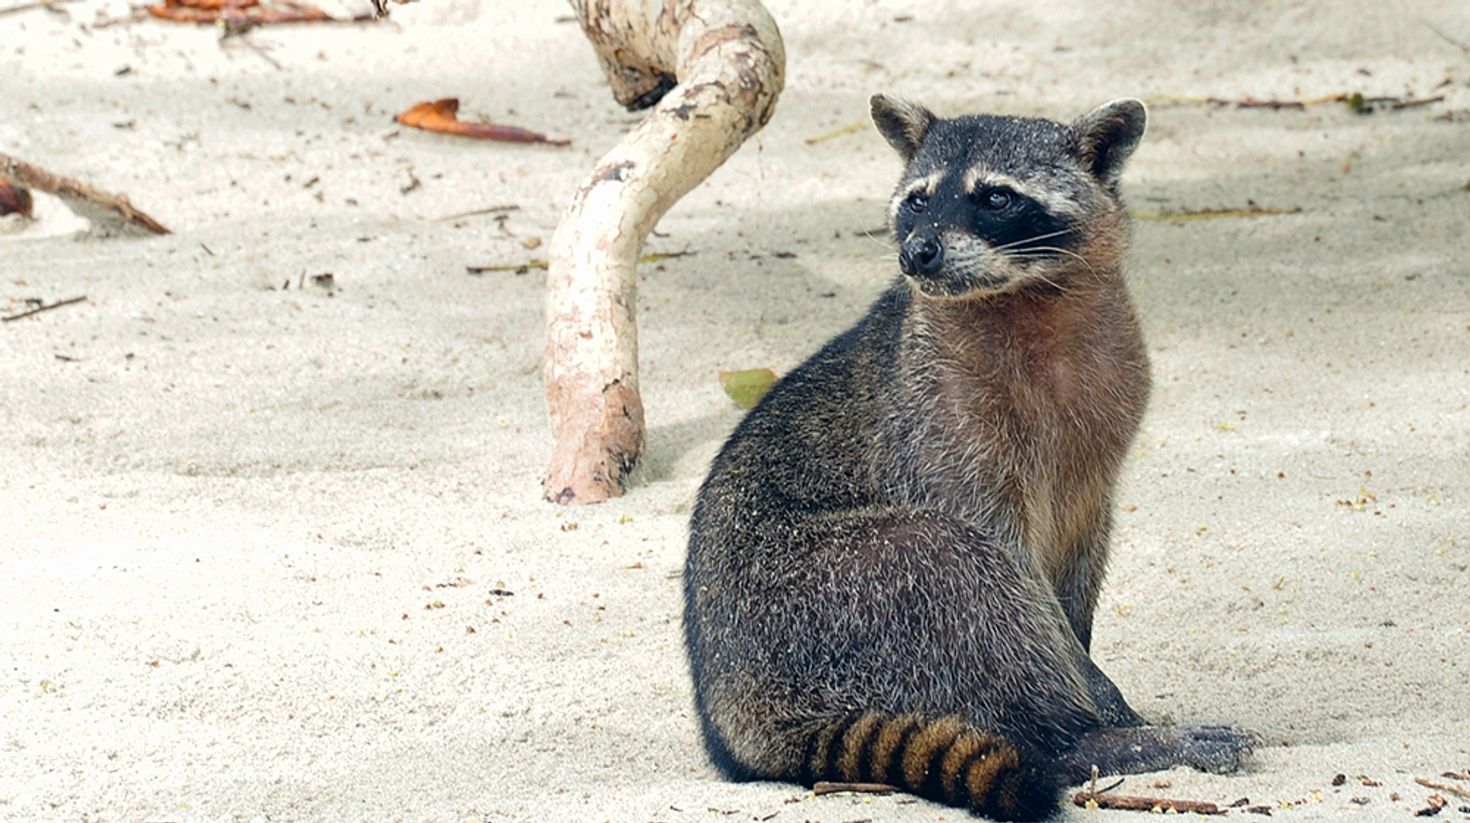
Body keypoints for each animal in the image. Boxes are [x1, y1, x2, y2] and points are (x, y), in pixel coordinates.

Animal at [682, 96, 1256, 821]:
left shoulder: (1098, 446)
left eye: (996, 197)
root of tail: (733, 716)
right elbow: (1012, 569)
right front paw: (1097, 702)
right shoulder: (940, 428)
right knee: (957, 566)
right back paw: (1081, 740)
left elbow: (1075, 570)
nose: (917, 251)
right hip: (828, 596)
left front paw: (1097, 679)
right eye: (917, 200)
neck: (1030, 297)